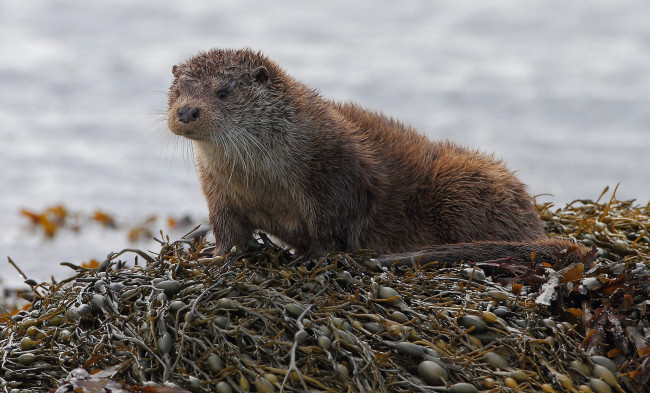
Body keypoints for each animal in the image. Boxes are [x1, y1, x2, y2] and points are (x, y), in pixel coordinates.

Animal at [166, 47, 588, 264]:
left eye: (223, 92)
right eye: (177, 91)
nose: (186, 111)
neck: (262, 178)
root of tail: (532, 220)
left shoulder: (334, 171)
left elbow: (332, 225)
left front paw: (312, 258)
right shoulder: (217, 190)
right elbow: (228, 229)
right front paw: (215, 256)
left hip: (460, 185)